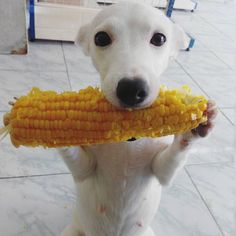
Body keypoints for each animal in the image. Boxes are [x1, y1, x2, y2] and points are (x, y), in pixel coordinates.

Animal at [59, 1, 218, 236]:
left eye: (159, 38)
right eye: (101, 38)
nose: (131, 90)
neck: (127, 140)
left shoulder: (161, 171)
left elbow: (173, 157)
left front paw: (193, 127)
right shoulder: (83, 169)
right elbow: (77, 159)